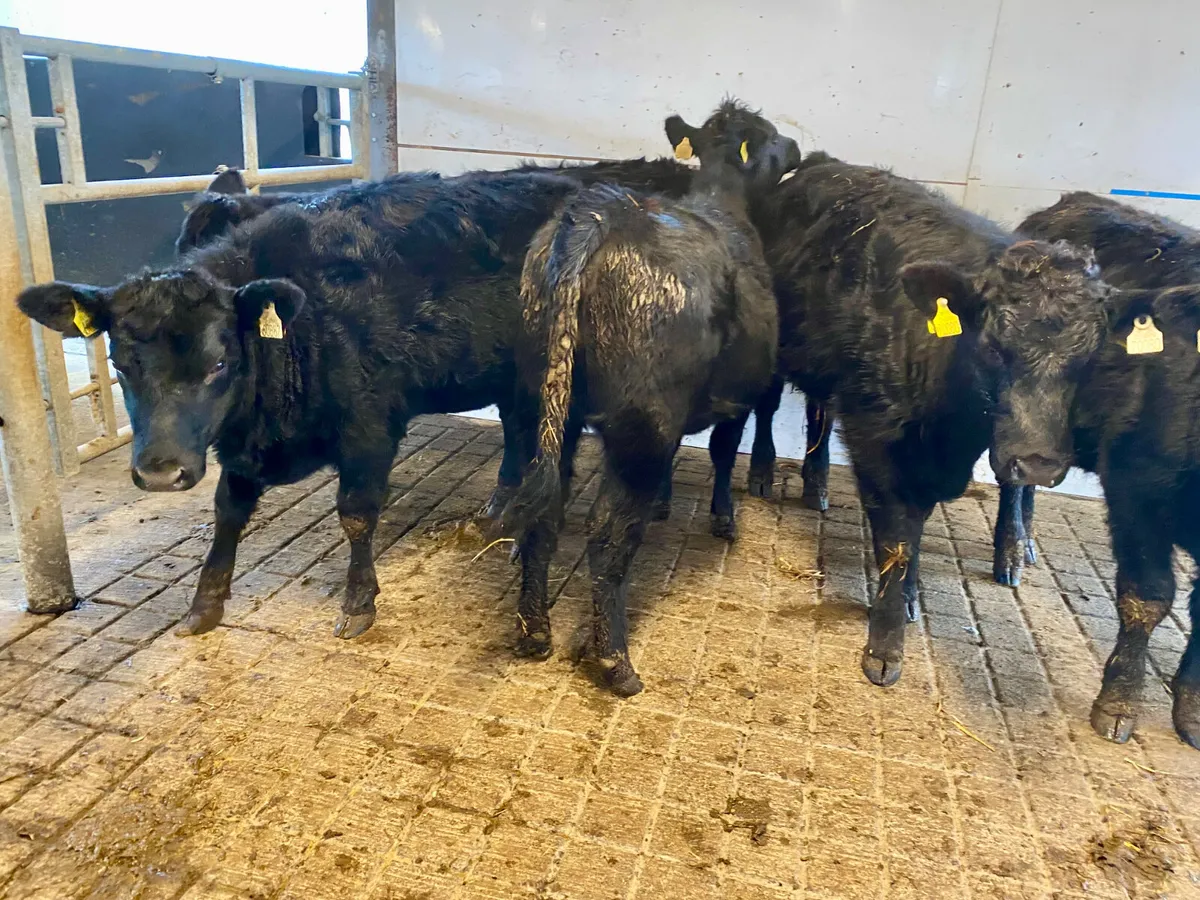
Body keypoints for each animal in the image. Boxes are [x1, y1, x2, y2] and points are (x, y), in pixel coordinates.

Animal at [498, 100, 799, 696]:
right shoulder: (736, 395)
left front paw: (664, 502)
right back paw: (615, 661)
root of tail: (598, 213)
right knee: (608, 532)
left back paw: (535, 633)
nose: (799, 150)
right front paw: (724, 518)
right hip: (643, 422)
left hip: (540, 403)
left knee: (545, 509)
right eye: (775, 138)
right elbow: (724, 452)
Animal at [696, 147, 1113, 689]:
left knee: (818, 415)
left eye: (1090, 357)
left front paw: (911, 597)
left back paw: (816, 484)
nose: (1038, 463)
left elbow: (916, 526)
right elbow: (897, 538)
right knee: (768, 408)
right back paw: (765, 473)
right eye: (992, 346)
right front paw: (886, 644)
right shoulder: (878, 440)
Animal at [989, 191, 1200, 749]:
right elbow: (1148, 596)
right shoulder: (1136, 488)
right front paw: (1119, 702)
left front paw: (1192, 708)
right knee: (1013, 482)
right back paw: (1012, 550)